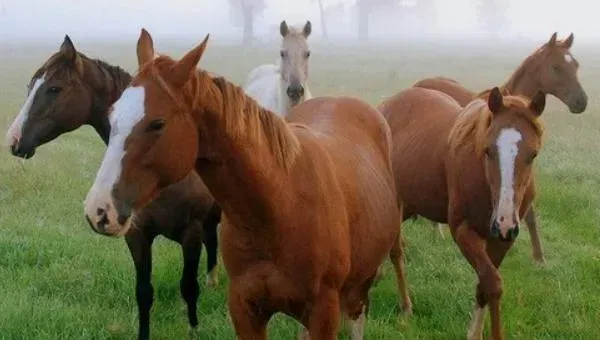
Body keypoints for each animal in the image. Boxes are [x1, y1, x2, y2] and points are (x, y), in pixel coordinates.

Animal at [2, 34, 223, 340]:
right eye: (30, 86)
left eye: (55, 88)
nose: (13, 140)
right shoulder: (137, 234)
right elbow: (144, 293)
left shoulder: (191, 232)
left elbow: (189, 288)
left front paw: (194, 329)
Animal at [83, 29, 412, 340]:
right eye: (112, 116)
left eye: (157, 123)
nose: (99, 210)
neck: (280, 205)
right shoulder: (245, 310)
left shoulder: (324, 313)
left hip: (362, 280)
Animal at [380, 86, 548, 338]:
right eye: (488, 150)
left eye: (534, 154)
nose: (504, 222)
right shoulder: (463, 230)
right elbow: (492, 284)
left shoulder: (502, 240)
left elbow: (484, 284)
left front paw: (474, 333)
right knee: (396, 251)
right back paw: (405, 304)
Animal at [412, 31, 584, 262]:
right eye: (556, 67)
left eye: (575, 65)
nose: (581, 102)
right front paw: (538, 257)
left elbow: (529, 213)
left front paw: (539, 257)